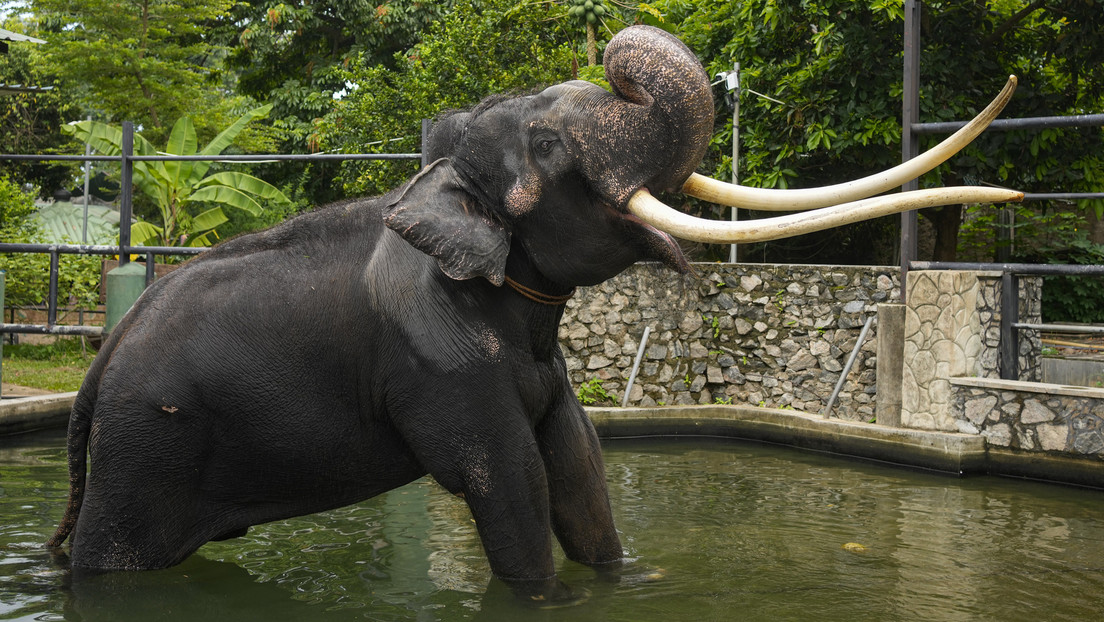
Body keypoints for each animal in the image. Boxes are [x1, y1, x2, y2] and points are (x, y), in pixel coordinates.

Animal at [48, 25, 1020, 602]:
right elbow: (510, 482)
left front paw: (626, 582)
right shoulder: (438, 364)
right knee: (116, 557)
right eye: (550, 146)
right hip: (147, 446)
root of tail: (96, 368)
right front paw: (549, 597)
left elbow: (581, 467)